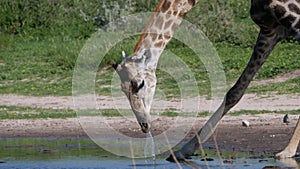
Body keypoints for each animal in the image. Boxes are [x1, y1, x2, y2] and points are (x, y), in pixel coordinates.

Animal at [112, 0, 300, 160]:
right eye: (122, 89)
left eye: (140, 84)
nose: (144, 126)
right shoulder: (270, 30)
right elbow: (235, 92)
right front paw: (183, 150)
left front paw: (286, 152)